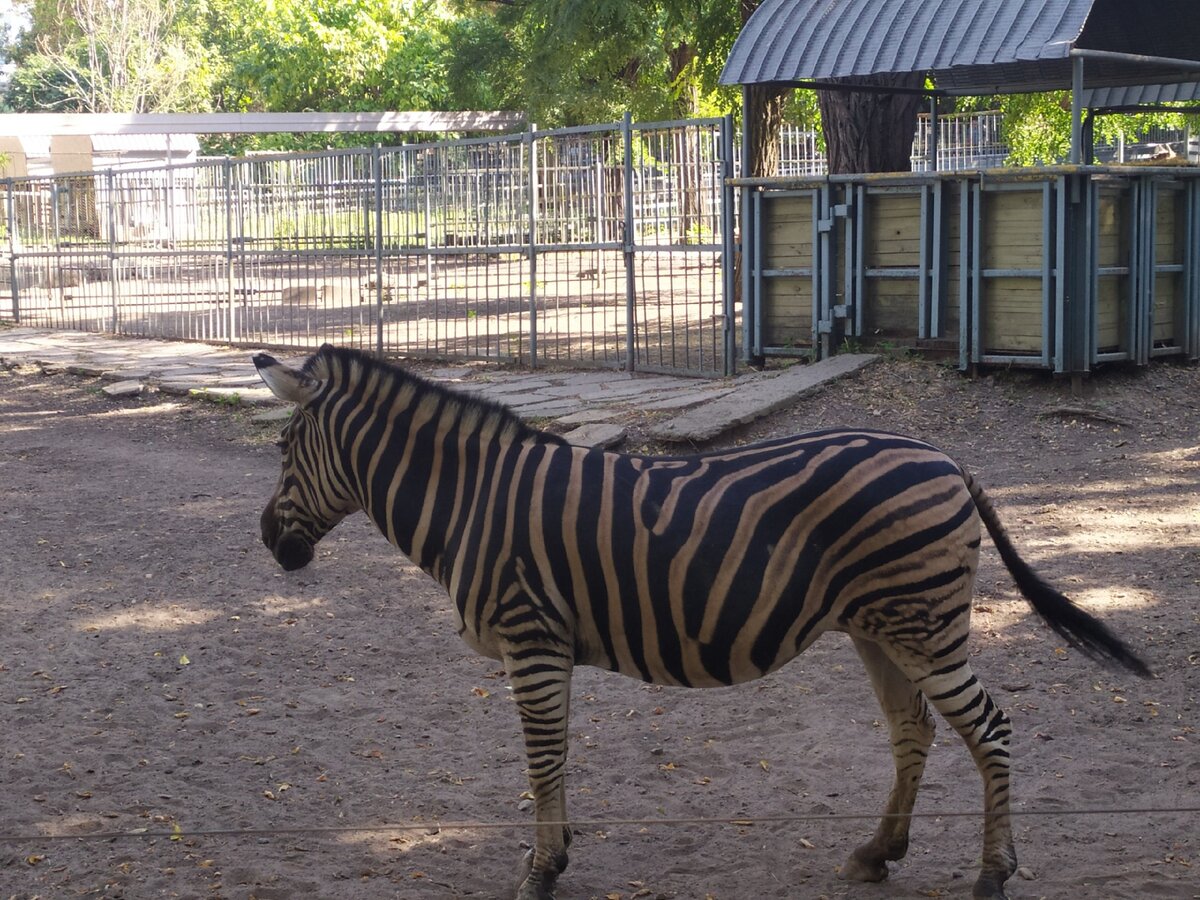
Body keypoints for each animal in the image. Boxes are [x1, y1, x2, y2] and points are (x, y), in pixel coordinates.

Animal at [250, 345, 1142, 900]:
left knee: (990, 728)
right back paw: (876, 853)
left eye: (286, 450)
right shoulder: (547, 648)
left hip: (924, 623)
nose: (267, 543)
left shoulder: (530, 639)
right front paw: (557, 856)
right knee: (914, 729)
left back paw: (993, 874)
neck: (471, 501)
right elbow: (557, 756)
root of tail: (947, 459)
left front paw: (538, 872)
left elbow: (542, 758)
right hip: (880, 626)